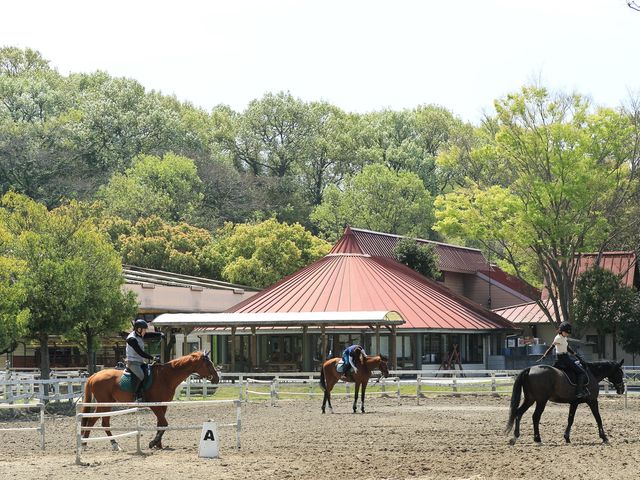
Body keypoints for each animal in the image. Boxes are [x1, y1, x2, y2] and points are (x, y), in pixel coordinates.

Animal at [79, 348, 220, 450]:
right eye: (208, 364)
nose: (216, 378)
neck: (166, 376)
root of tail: (94, 375)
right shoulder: (154, 405)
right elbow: (164, 423)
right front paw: (153, 442)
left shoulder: (163, 405)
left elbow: (161, 424)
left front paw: (159, 445)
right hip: (105, 404)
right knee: (100, 422)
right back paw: (106, 444)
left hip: (106, 404)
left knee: (95, 421)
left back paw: (91, 443)